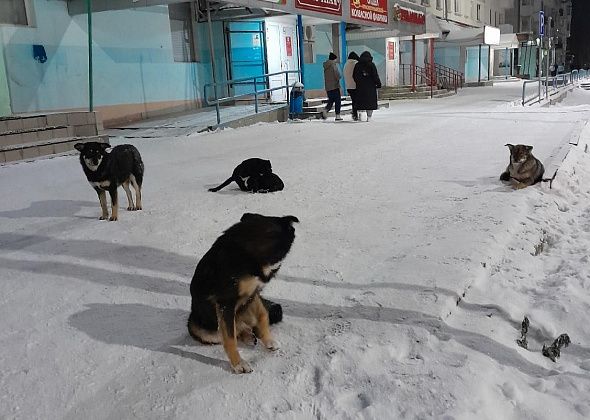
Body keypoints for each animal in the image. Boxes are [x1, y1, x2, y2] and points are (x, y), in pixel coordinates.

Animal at [190, 213, 298, 374]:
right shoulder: (226, 302)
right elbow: (230, 339)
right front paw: (238, 364)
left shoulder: (254, 292)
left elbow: (263, 315)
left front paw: (268, 340)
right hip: (201, 329)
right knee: (231, 332)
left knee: (243, 326)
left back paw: (249, 335)